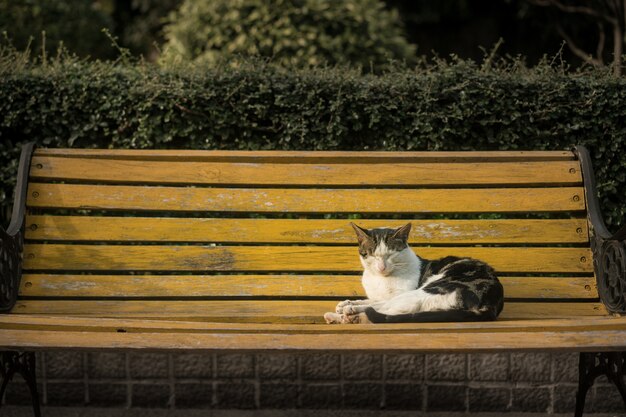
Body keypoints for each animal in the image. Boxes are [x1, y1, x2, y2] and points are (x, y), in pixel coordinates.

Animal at [322, 223, 502, 324]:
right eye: (372, 255)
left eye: (391, 254)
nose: (381, 267)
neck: (380, 279)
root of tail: (491, 302)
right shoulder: (378, 295)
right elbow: (371, 299)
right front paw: (346, 302)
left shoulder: (400, 292)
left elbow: (377, 302)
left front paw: (349, 305)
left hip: (428, 288)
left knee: (390, 309)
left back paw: (349, 313)